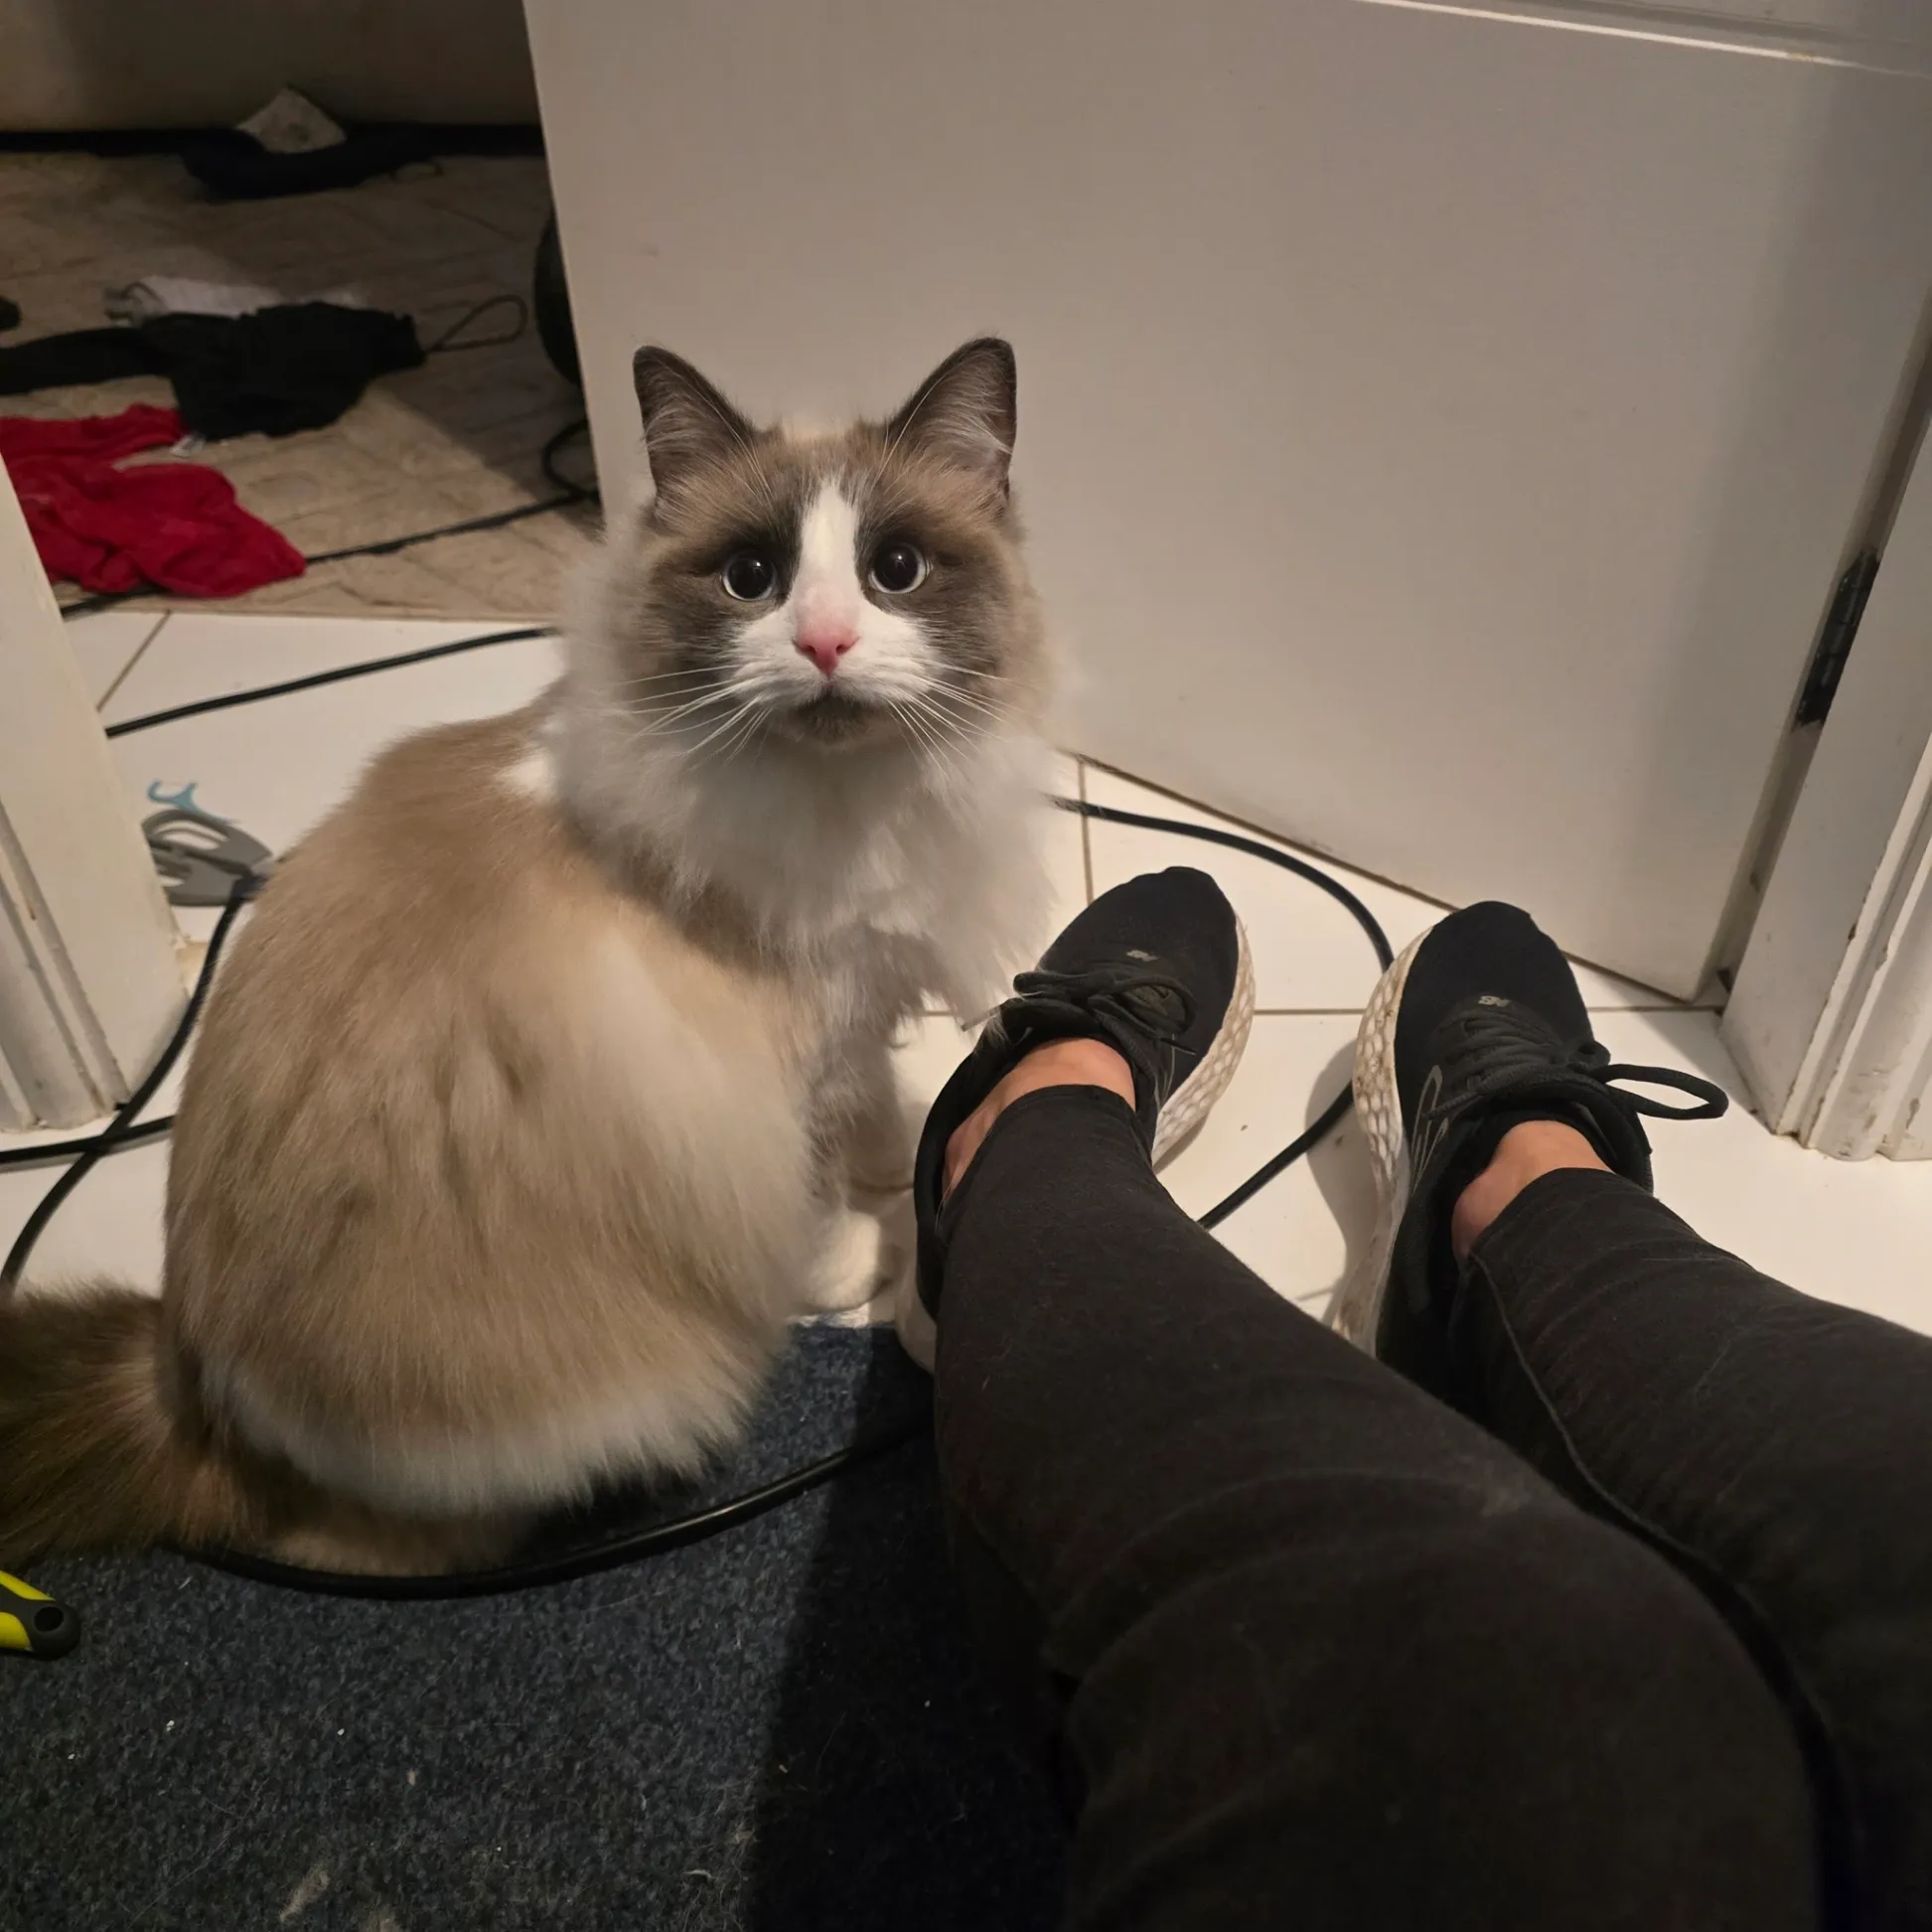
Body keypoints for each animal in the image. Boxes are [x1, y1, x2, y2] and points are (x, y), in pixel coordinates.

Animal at [0, 337, 1053, 1574]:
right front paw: (856, 1258)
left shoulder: (859, 995)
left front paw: (898, 1168)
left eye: (896, 569)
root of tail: (191, 1389)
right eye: (751, 577)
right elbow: (808, 1188)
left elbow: (880, 1104)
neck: (849, 803)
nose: (825, 644)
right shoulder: (769, 1066)